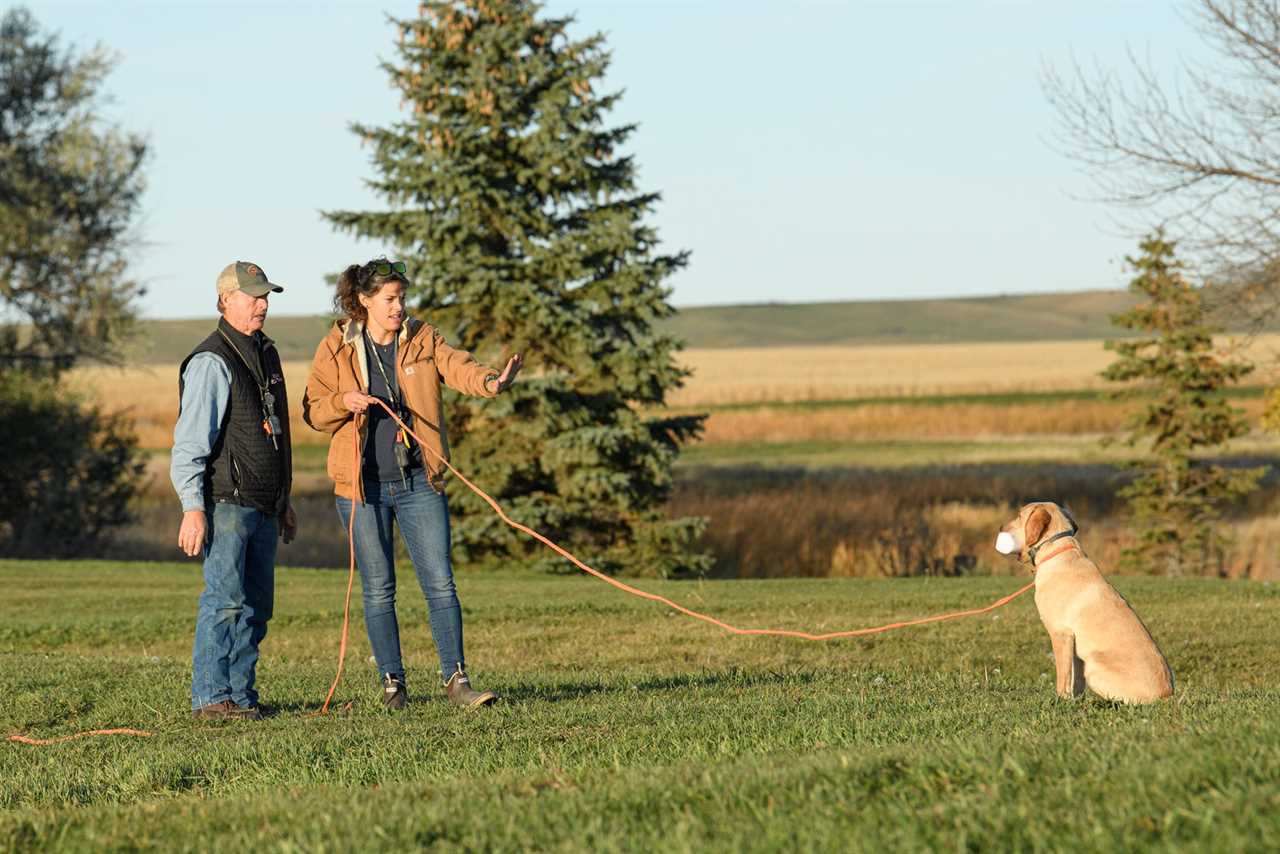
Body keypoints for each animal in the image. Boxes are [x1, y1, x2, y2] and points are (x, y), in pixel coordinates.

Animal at [993, 501, 1172, 701]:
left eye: (1019, 516)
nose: (1000, 527)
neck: (1055, 551)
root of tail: (1167, 695)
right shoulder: (1075, 647)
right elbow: (1076, 681)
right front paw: (1074, 701)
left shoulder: (1061, 634)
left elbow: (1063, 676)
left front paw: (1060, 699)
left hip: (1093, 668)